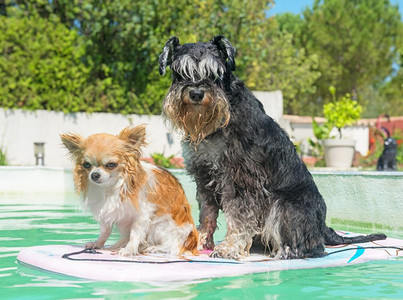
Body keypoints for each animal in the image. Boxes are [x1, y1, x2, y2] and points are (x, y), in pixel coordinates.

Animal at [60, 125, 199, 256]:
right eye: (87, 165)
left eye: (111, 164)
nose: (94, 175)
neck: (111, 187)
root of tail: (192, 243)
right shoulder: (106, 211)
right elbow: (105, 231)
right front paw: (97, 243)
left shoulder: (142, 214)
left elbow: (135, 233)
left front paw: (130, 249)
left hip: (160, 224)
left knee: (173, 247)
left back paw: (153, 247)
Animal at [159, 35, 388, 260]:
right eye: (179, 73)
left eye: (215, 74)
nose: (196, 93)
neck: (218, 122)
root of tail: (322, 226)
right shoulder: (204, 176)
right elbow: (207, 215)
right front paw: (199, 242)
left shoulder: (241, 178)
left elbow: (238, 216)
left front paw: (229, 248)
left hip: (283, 204)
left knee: (311, 246)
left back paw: (286, 251)